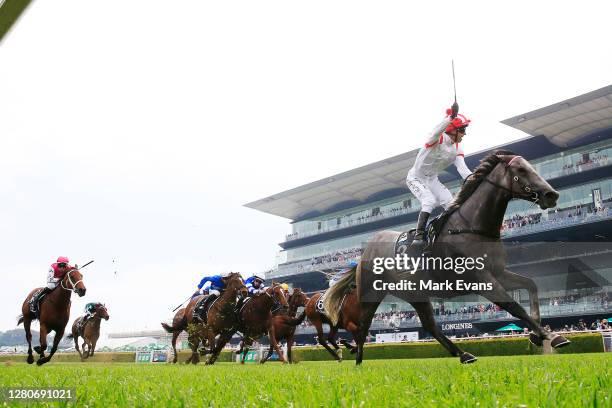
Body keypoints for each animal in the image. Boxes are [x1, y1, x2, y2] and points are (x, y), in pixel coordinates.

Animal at [328, 151, 572, 364]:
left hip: (415, 294)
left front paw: (537, 335)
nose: (551, 195)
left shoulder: (499, 272)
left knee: (429, 325)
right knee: (363, 324)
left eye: (532, 166)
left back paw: (464, 354)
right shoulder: (482, 280)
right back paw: (358, 361)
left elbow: (531, 285)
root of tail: (364, 252)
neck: (472, 227)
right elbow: (514, 307)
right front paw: (553, 337)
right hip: (372, 292)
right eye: (521, 169)